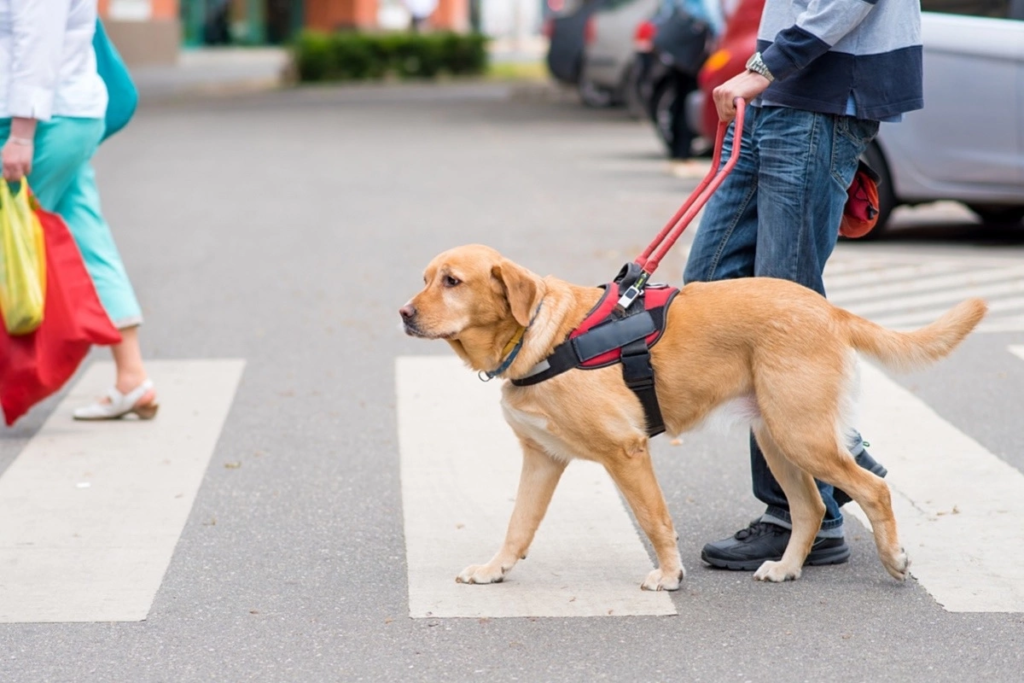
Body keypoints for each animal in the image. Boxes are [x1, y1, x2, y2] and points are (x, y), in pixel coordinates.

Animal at [397, 246, 983, 593]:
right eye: (424, 278)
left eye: (452, 281)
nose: (403, 313)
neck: (540, 335)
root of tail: (827, 309)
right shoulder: (542, 459)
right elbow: (518, 527)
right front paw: (494, 568)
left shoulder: (626, 451)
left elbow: (656, 519)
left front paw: (669, 573)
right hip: (777, 438)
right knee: (812, 507)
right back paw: (787, 566)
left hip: (802, 435)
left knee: (873, 488)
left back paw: (893, 559)